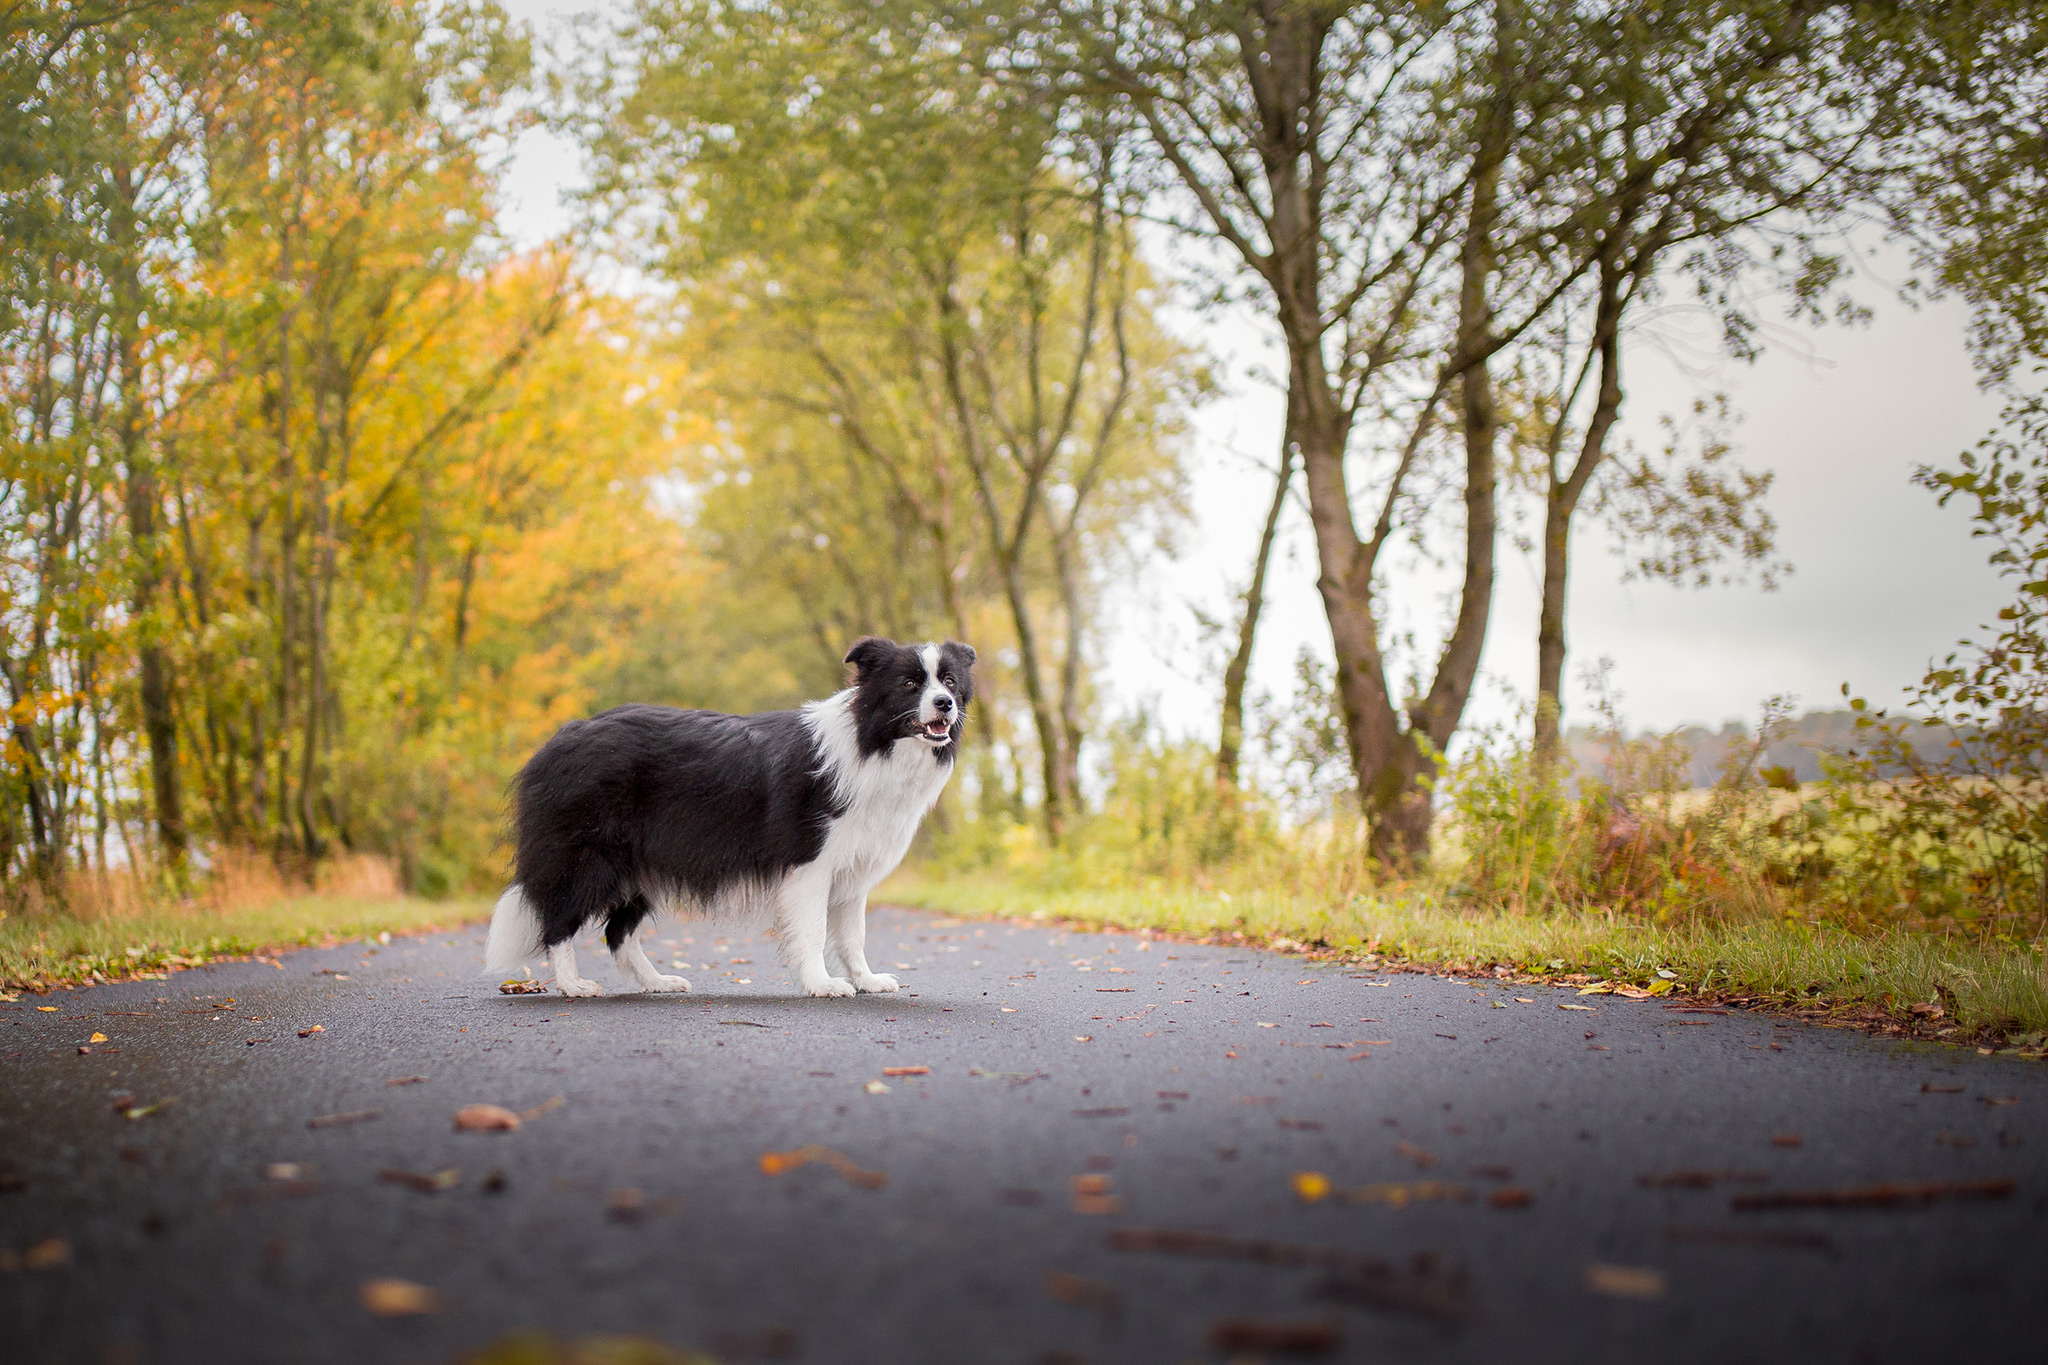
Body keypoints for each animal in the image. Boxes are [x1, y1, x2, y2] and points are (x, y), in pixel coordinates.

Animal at [479, 634, 974, 998]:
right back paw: (573, 985)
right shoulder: (810, 865)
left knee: (619, 934)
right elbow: (814, 931)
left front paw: (866, 980)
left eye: (949, 681)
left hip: (639, 866)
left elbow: (853, 934)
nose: (945, 704)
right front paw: (822, 985)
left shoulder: (852, 867)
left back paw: (657, 982)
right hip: (588, 858)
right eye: (909, 684)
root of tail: (559, 739)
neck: (871, 742)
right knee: (558, 920)